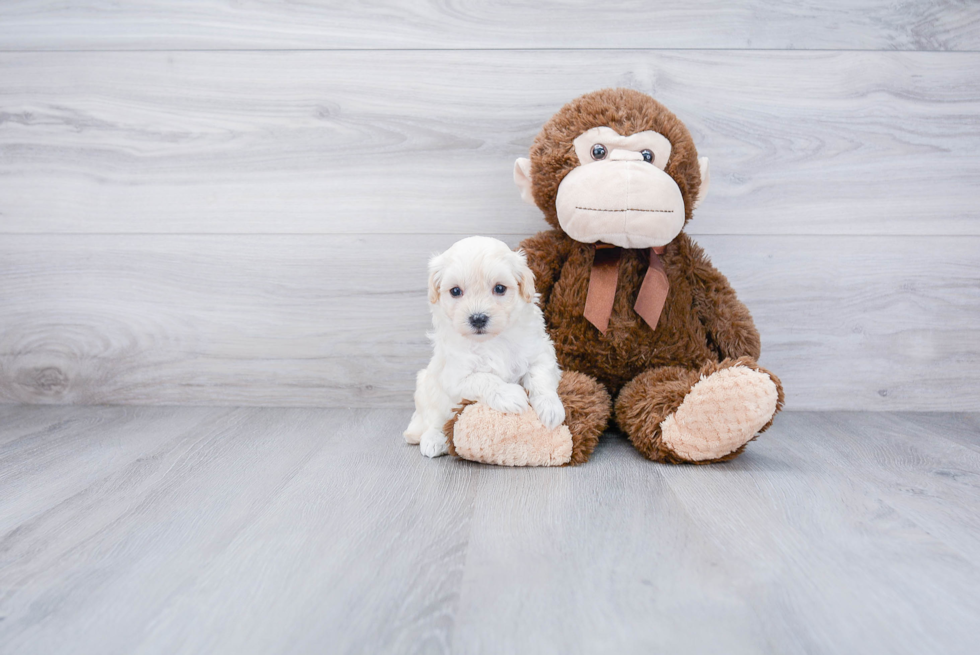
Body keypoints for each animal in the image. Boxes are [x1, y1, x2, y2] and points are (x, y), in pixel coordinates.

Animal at [404, 234, 568, 456]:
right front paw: (510, 395)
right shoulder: (456, 378)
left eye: (499, 288)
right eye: (455, 291)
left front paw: (550, 408)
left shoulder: (540, 353)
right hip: (426, 389)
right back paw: (433, 440)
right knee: (433, 419)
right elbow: (485, 379)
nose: (478, 318)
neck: (492, 341)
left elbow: (539, 378)